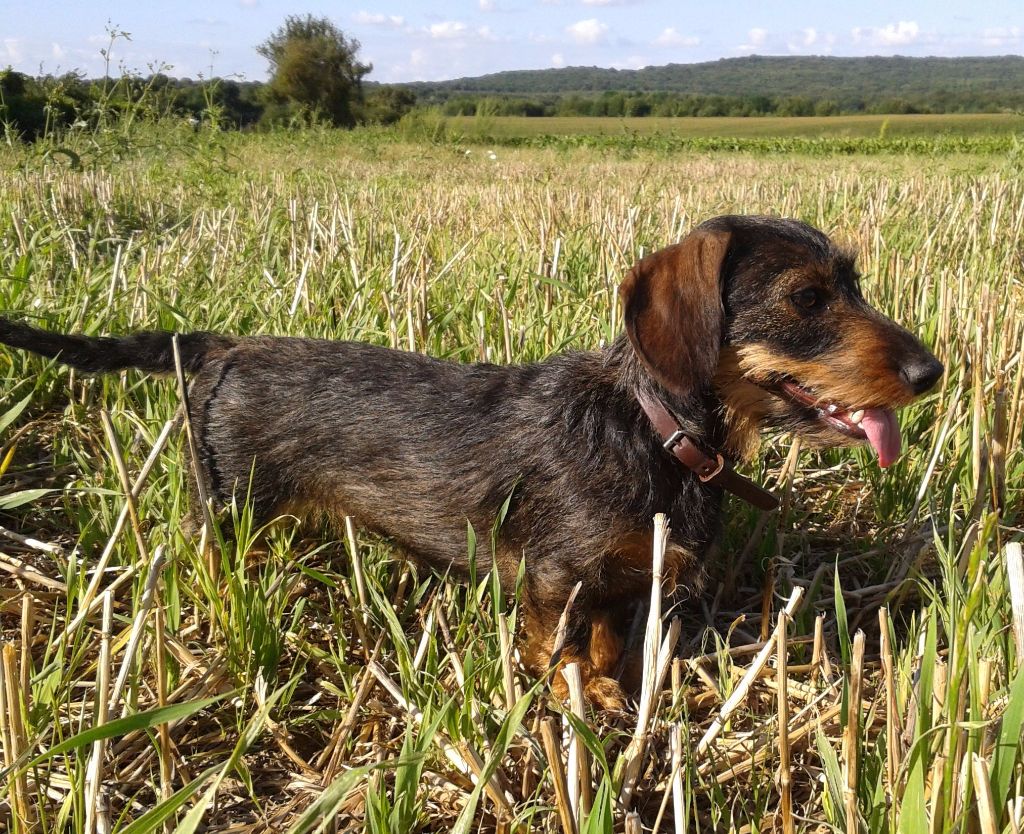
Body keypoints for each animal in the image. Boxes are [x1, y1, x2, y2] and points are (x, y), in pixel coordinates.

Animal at [0, 217, 942, 713]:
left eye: (853, 285)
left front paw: (612, 700)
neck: (648, 428)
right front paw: (575, 713)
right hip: (224, 511)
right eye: (807, 299)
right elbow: (562, 656)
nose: (933, 372)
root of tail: (221, 348)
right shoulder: (558, 580)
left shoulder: (623, 583)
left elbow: (608, 649)